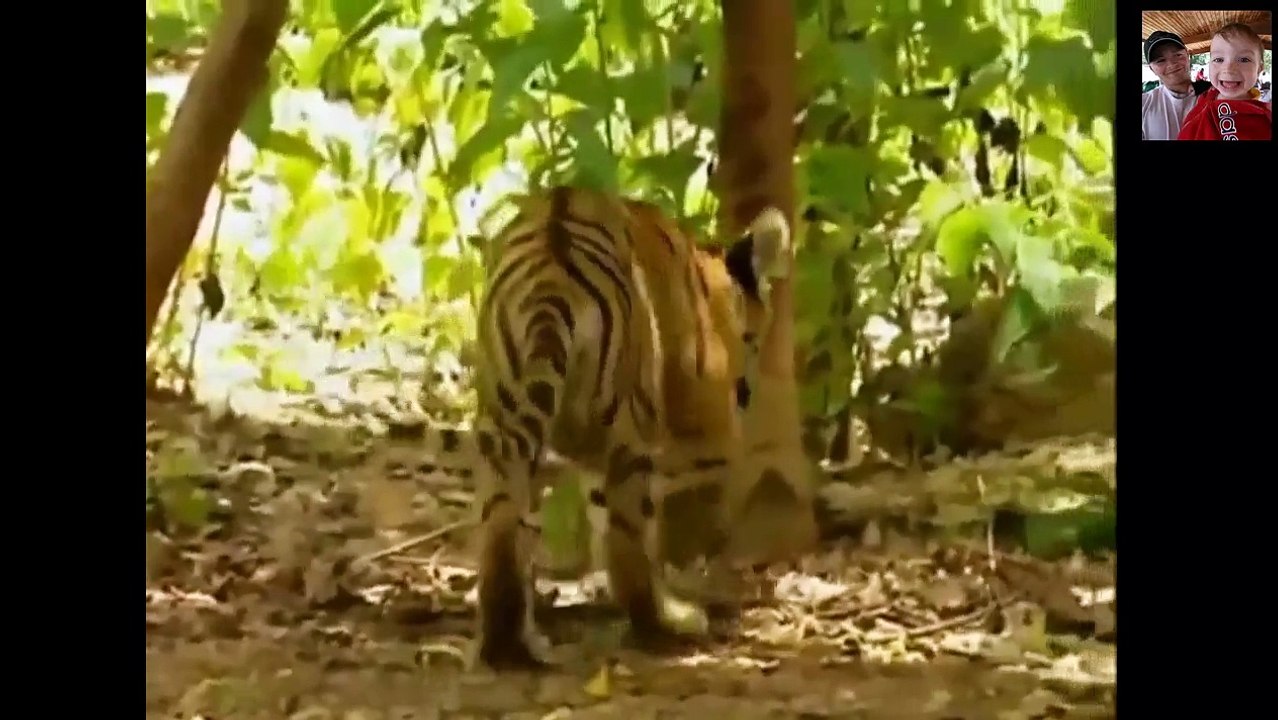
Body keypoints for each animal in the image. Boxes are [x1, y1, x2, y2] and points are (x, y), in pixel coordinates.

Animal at [405, 185, 793, 669]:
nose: (747, 389)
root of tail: (551, 278)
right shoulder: (704, 437)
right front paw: (718, 589)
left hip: (504, 425)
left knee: (502, 531)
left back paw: (507, 645)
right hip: (631, 435)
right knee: (628, 551)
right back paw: (665, 623)